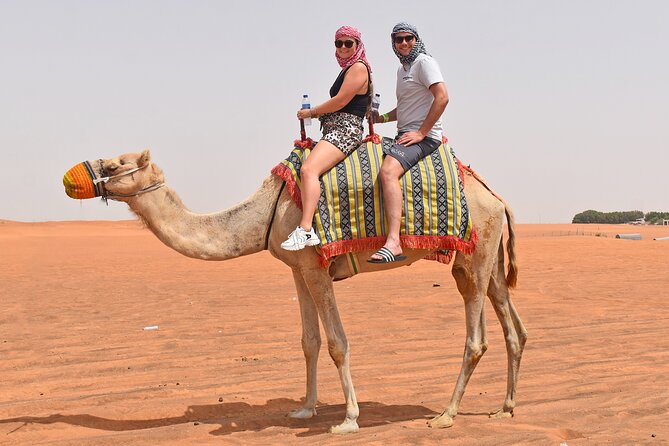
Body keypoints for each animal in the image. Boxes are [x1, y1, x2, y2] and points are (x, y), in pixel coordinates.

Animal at [65, 149, 527, 434]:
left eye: (117, 164)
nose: (74, 176)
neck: (267, 212)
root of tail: (498, 198)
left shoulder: (316, 266)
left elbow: (337, 342)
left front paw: (349, 419)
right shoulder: (298, 270)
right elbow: (309, 341)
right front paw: (305, 408)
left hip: (475, 255)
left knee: (477, 338)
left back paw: (446, 415)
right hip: (488, 260)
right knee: (513, 330)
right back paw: (504, 408)